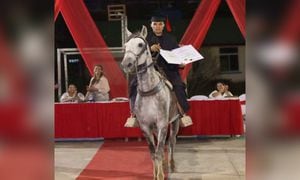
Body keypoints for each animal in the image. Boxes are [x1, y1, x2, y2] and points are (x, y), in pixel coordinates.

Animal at [120, 25, 179, 180]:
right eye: (125, 46)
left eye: (140, 44)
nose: (126, 64)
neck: (149, 91)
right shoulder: (146, 127)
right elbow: (153, 153)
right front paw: (155, 173)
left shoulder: (162, 124)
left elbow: (159, 151)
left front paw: (160, 175)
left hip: (174, 122)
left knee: (172, 142)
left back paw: (172, 164)